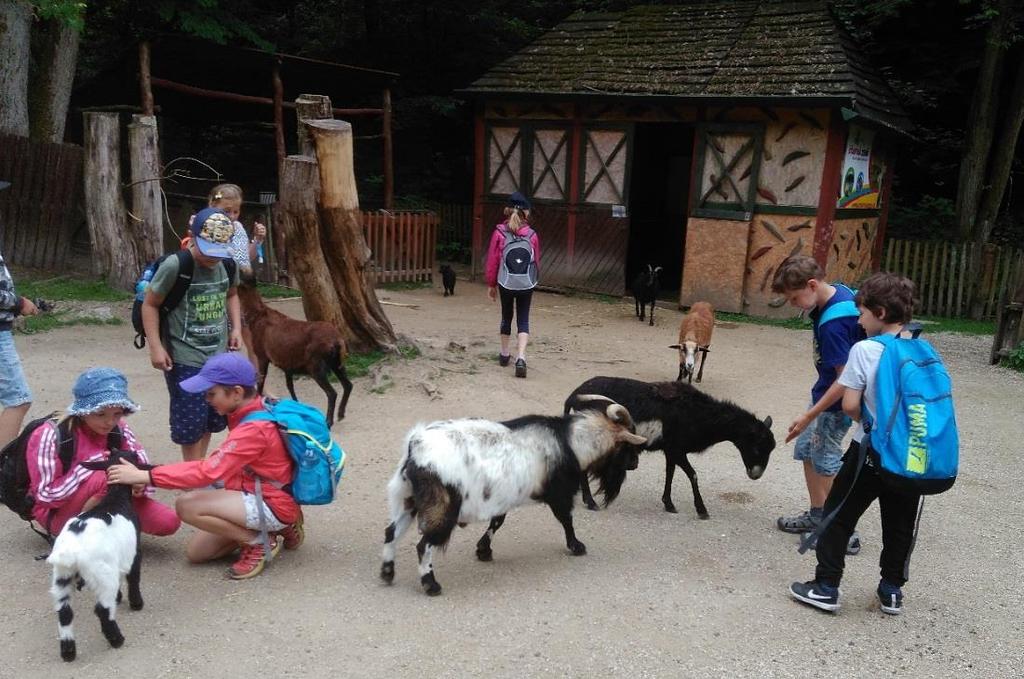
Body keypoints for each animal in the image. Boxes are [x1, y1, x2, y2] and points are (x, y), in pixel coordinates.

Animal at [237, 280, 354, 426]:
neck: (256, 316)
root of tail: (337, 341)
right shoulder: (287, 364)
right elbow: (290, 386)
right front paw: (296, 407)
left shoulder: (262, 355)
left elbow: (261, 380)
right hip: (337, 363)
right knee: (348, 384)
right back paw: (340, 414)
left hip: (316, 366)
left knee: (332, 393)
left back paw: (328, 421)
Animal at [380, 401, 643, 598]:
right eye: (627, 447)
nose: (635, 464)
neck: (570, 442)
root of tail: (415, 446)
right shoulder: (560, 495)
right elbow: (567, 520)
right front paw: (577, 546)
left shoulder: (501, 500)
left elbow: (497, 522)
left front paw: (484, 551)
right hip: (442, 507)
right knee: (424, 544)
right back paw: (431, 585)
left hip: (409, 500)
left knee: (391, 532)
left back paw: (387, 573)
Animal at [565, 378, 770, 518]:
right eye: (757, 448)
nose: (756, 474)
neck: (700, 414)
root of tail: (573, 396)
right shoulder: (677, 450)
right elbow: (693, 475)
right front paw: (702, 510)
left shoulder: (671, 451)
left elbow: (670, 473)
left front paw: (669, 504)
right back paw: (590, 502)